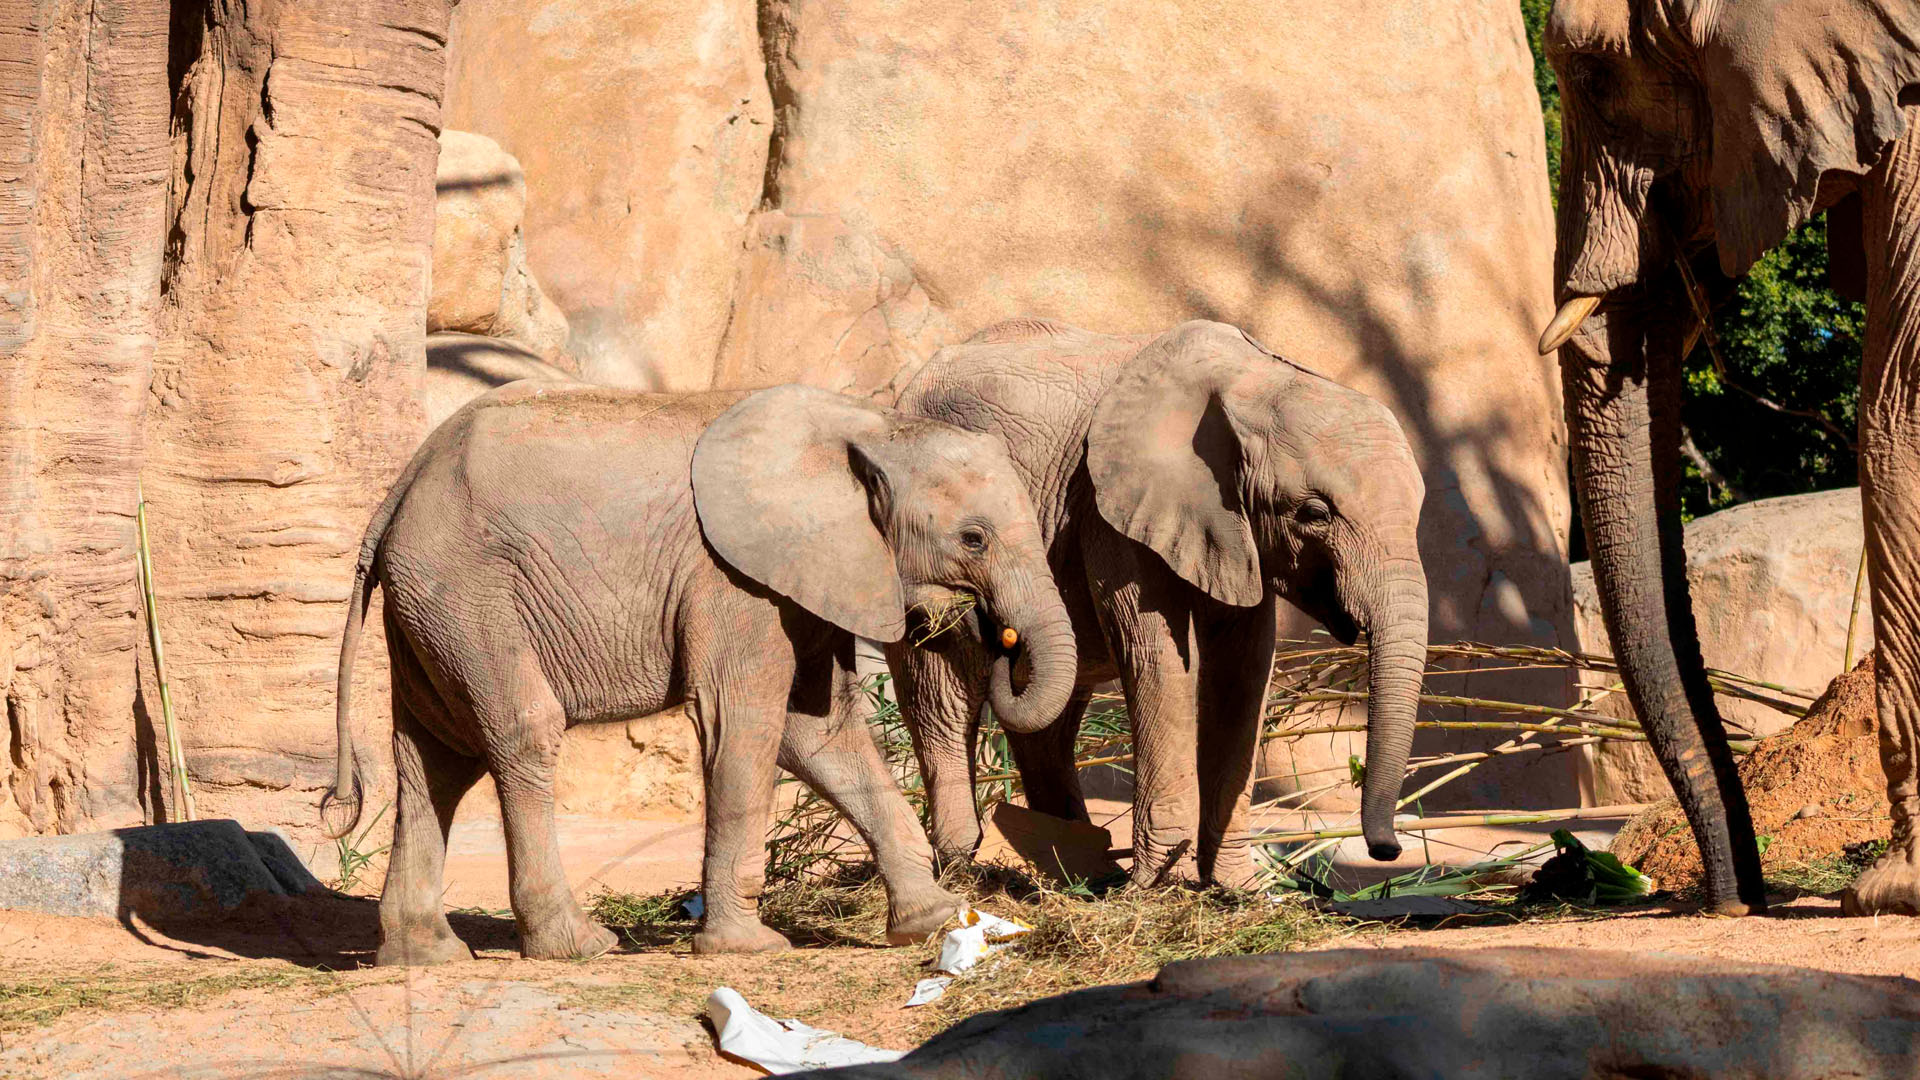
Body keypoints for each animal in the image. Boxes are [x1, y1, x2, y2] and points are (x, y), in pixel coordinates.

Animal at [322, 381, 1078, 963]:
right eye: (973, 538)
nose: (996, 634)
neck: (869, 424)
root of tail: (397, 492)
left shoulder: (805, 577)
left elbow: (819, 733)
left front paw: (935, 921)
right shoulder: (733, 580)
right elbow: (743, 723)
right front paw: (747, 950)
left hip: (430, 609)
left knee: (434, 759)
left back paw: (427, 955)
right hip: (468, 594)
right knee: (522, 732)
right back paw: (581, 947)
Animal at [887, 318, 1429, 888]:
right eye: (1316, 514)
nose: (1387, 850)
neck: (1253, 382)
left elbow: (1244, 668)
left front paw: (1236, 888)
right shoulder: (1111, 509)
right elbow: (1156, 655)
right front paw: (1162, 883)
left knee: (1048, 711)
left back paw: (1074, 864)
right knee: (941, 693)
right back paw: (960, 868)